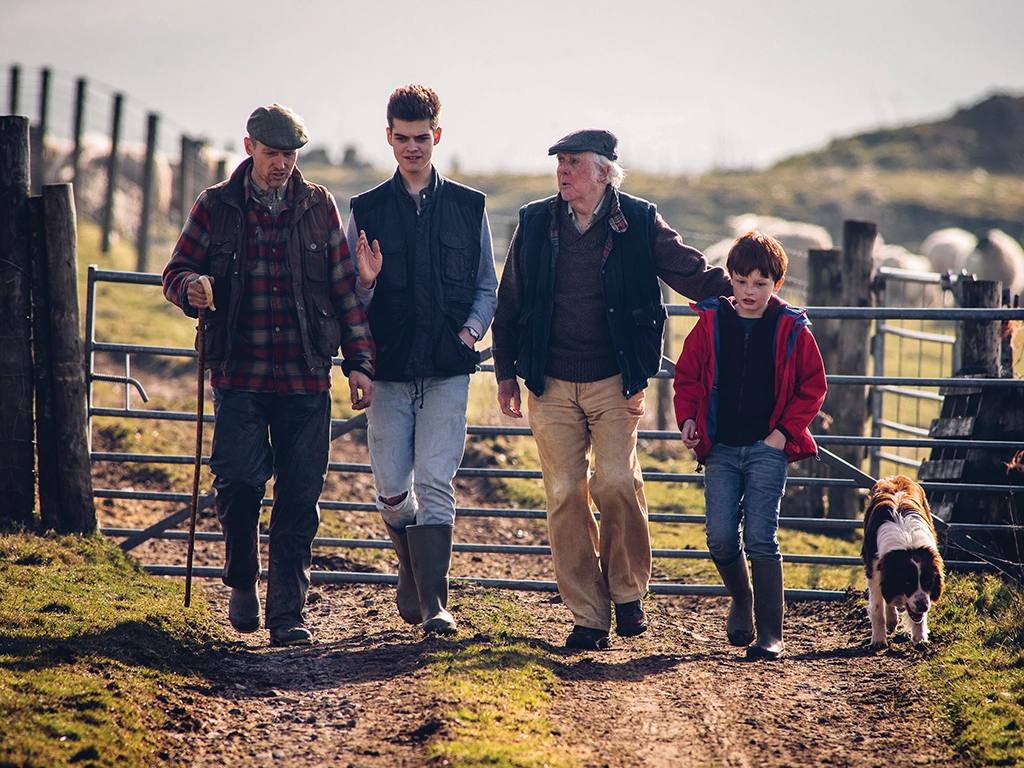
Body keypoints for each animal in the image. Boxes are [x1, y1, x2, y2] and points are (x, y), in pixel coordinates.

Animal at [862, 475, 945, 649]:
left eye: (928, 581)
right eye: (907, 582)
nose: (923, 606)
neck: (908, 543)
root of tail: (895, 477)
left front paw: (920, 639)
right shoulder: (874, 571)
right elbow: (877, 609)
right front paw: (878, 640)